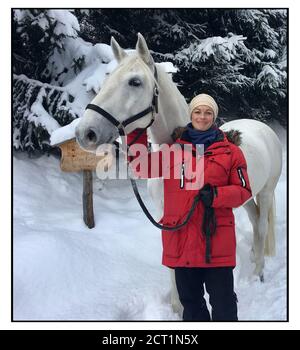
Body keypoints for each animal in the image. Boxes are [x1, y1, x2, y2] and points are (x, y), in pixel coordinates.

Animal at [76, 33, 282, 314]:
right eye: (106, 79)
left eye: (135, 82)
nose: (85, 132)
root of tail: (262, 127)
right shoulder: (167, 213)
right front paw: (177, 307)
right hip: (247, 196)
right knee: (255, 220)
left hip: (267, 191)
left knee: (261, 225)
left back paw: (258, 273)